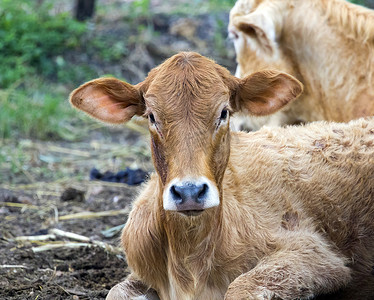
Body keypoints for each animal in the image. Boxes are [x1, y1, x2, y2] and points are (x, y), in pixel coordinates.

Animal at [70, 52, 374, 300]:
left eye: (224, 112)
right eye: (152, 117)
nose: (189, 192)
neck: (191, 261)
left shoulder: (314, 255)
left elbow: (240, 288)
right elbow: (115, 292)